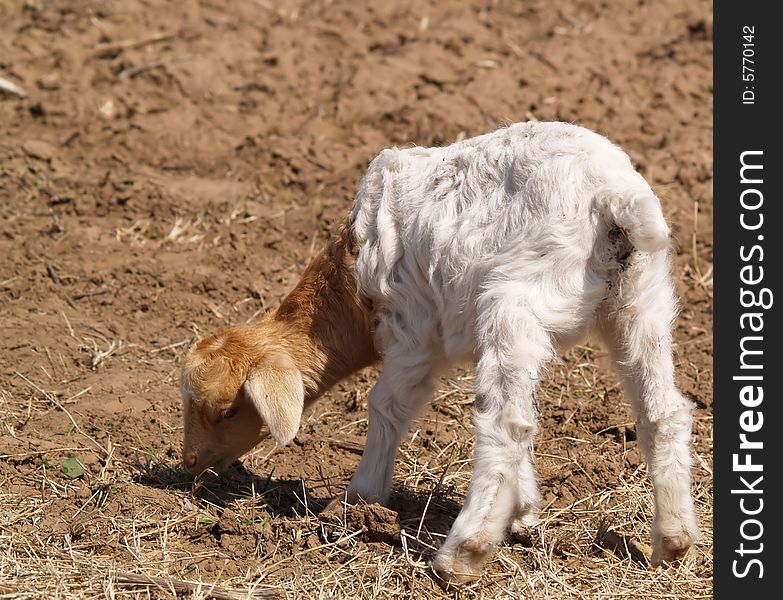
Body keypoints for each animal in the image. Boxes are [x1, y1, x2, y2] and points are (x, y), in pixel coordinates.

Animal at [181, 120, 700, 580]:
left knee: (507, 423)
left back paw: (462, 555)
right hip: (641, 301)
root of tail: (613, 196)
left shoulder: (412, 332)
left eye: (227, 410)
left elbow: (387, 407)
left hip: (513, 300)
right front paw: (524, 512)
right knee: (661, 413)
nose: (189, 464)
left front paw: (356, 502)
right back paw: (672, 542)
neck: (351, 286)